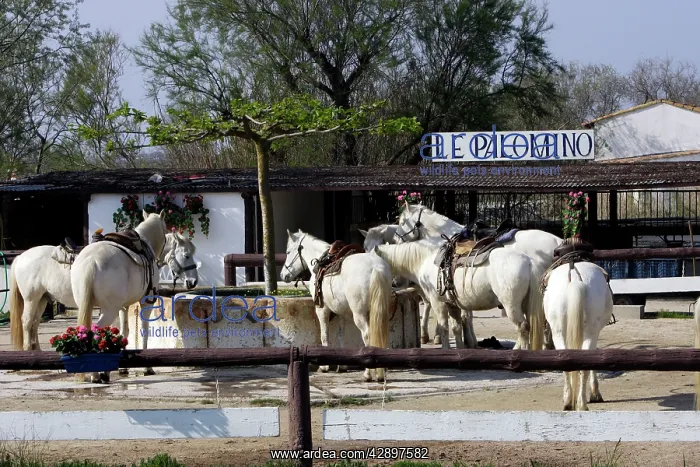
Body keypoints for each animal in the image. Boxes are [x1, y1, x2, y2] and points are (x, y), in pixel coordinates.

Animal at [70, 210, 168, 383]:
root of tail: (91, 261)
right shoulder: (146, 303)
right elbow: (144, 330)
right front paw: (147, 368)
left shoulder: (123, 306)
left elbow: (124, 331)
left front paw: (123, 368)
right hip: (109, 310)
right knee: (94, 332)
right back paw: (97, 374)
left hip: (92, 306)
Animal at [280, 229, 392, 382]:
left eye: (287, 251)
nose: (283, 275)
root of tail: (376, 268)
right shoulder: (342, 312)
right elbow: (340, 335)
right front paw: (342, 365)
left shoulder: (321, 309)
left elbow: (324, 334)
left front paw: (324, 366)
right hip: (380, 311)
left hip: (359, 314)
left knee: (367, 335)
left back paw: (368, 374)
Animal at [374, 237, 543, 351]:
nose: (394, 284)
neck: (425, 260)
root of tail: (529, 262)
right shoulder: (452, 305)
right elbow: (456, 328)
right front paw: (460, 350)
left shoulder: (438, 302)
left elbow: (443, 327)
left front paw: (445, 350)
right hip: (525, 304)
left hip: (511, 305)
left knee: (522, 327)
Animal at [395, 202, 559, 350]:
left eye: (402, 222)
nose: (396, 239)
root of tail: (558, 240)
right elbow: (465, 315)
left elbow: (464, 316)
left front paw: (466, 341)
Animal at [542, 260, 613, 411]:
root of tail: (575, 277)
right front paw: (594, 393)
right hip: (589, 333)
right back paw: (580, 403)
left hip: (559, 333)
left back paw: (570, 402)